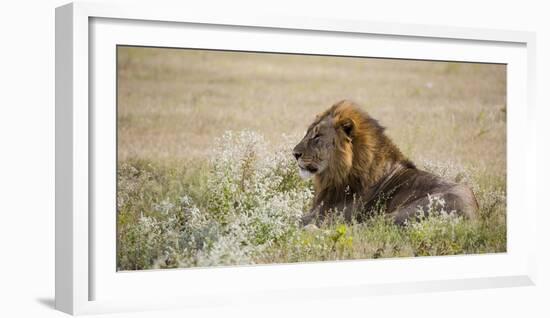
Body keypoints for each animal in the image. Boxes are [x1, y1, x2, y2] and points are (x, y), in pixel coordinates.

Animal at [294, 100, 478, 226]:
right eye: (307, 133)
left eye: (317, 136)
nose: (294, 154)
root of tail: (475, 213)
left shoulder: (332, 214)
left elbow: (296, 218)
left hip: (403, 212)